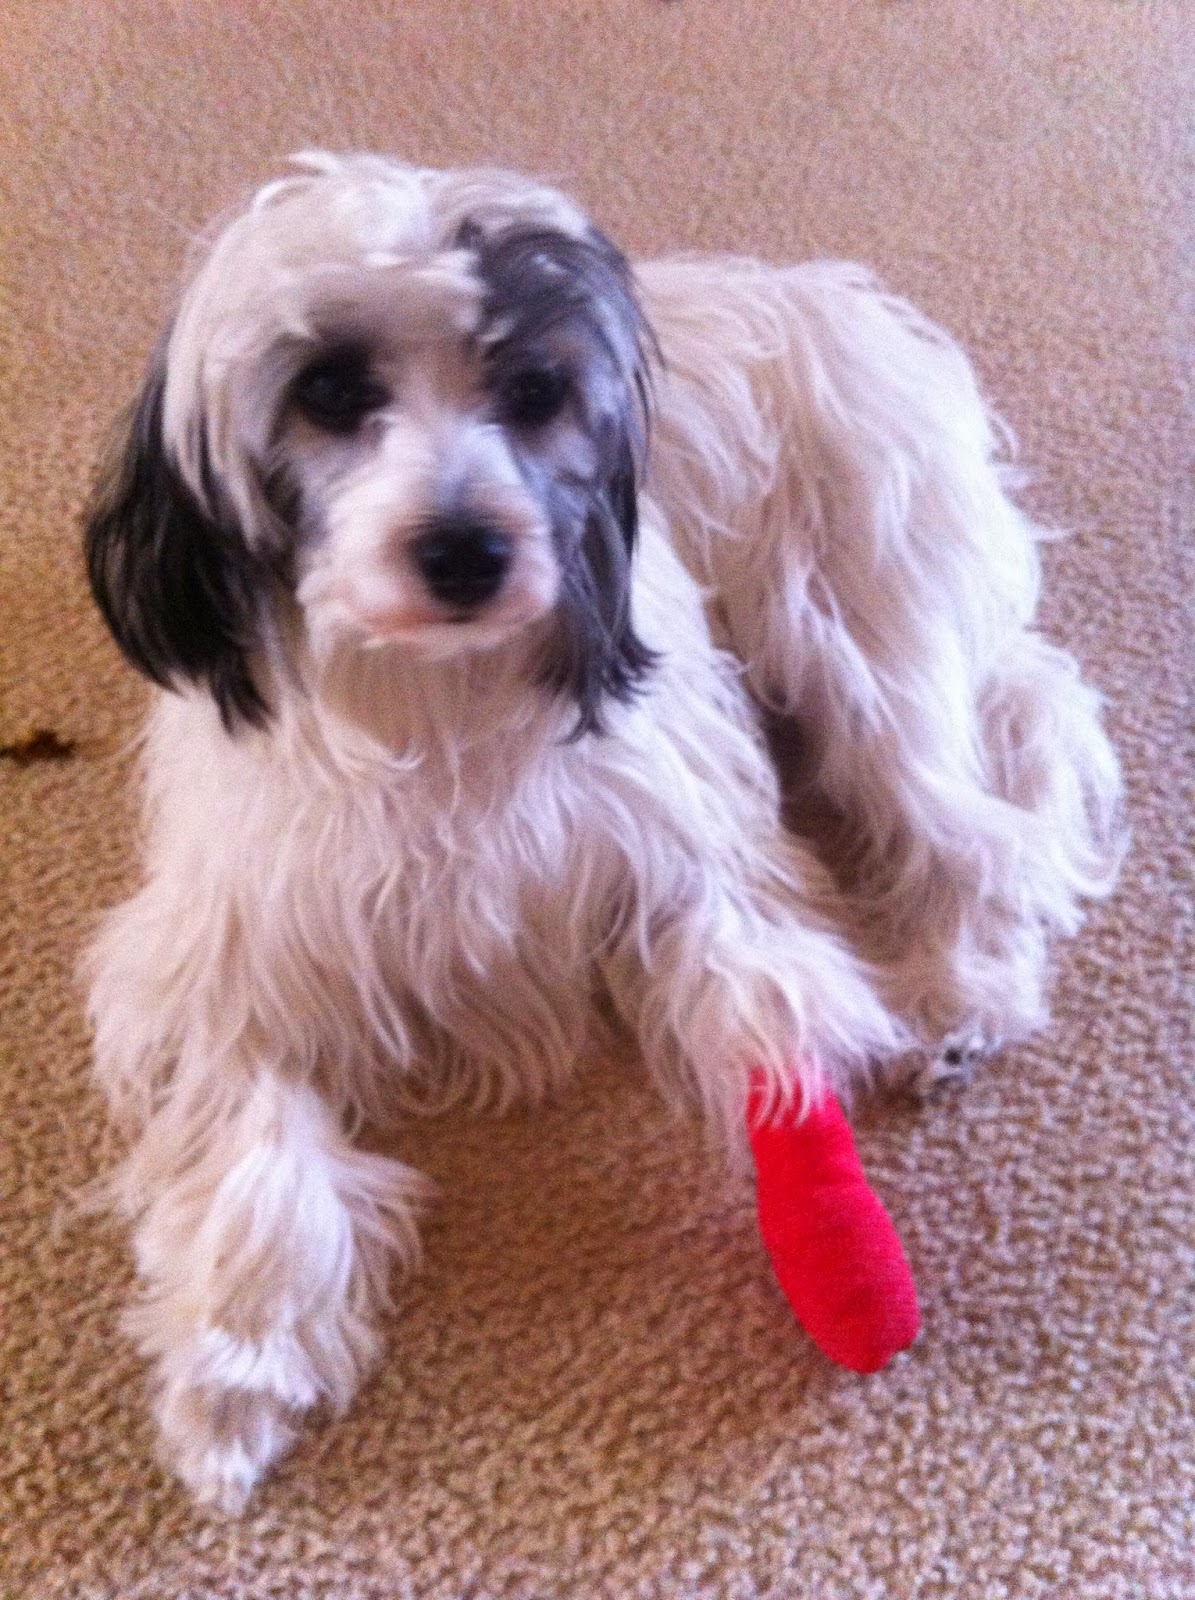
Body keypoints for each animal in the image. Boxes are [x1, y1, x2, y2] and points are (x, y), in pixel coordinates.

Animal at [82, 152, 1122, 1510]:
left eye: (531, 392)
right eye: (331, 391)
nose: (466, 549)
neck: (443, 696)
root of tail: (841, 305)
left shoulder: (691, 865)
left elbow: (773, 1030)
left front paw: (841, 1262)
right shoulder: (234, 954)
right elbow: (254, 1159)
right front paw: (235, 1374)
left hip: (854, 645)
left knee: (982, 836)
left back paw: (970, 996)